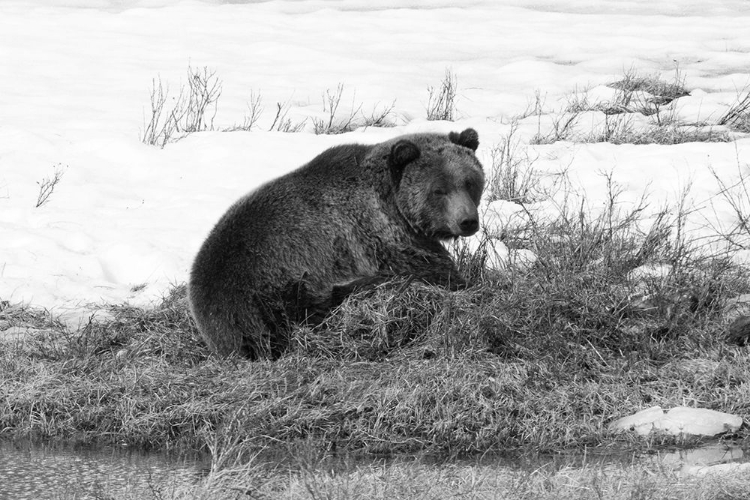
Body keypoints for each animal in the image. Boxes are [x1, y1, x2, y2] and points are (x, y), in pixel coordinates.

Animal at [189, 127, 488, 358]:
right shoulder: (380, 237)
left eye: (470, 182)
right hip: (274, 286)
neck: (393, 202)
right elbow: (431, 268)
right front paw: (459, 281)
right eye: (438, 190)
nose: (467, 221)